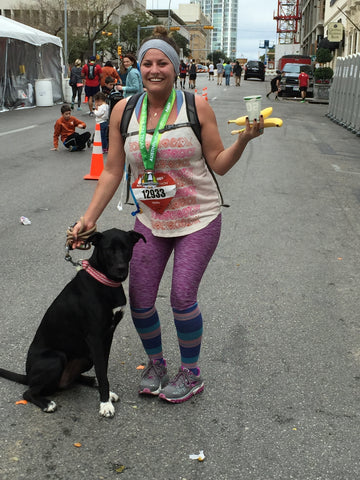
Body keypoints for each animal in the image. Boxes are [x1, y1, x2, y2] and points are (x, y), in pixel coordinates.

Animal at [1, 228, 146, 416]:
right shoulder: (95, 337)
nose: (121, 269)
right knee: (28, 392)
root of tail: (28, 375)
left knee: (73, 379)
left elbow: (103, 369)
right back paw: (47, 403)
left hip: (86, 357)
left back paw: (92, 382)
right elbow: (102, 372)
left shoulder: (107, 336)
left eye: (126, 248)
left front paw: (106, 395)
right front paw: (105, 404)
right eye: (108, 249)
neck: (104, 281)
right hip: (56, 358)